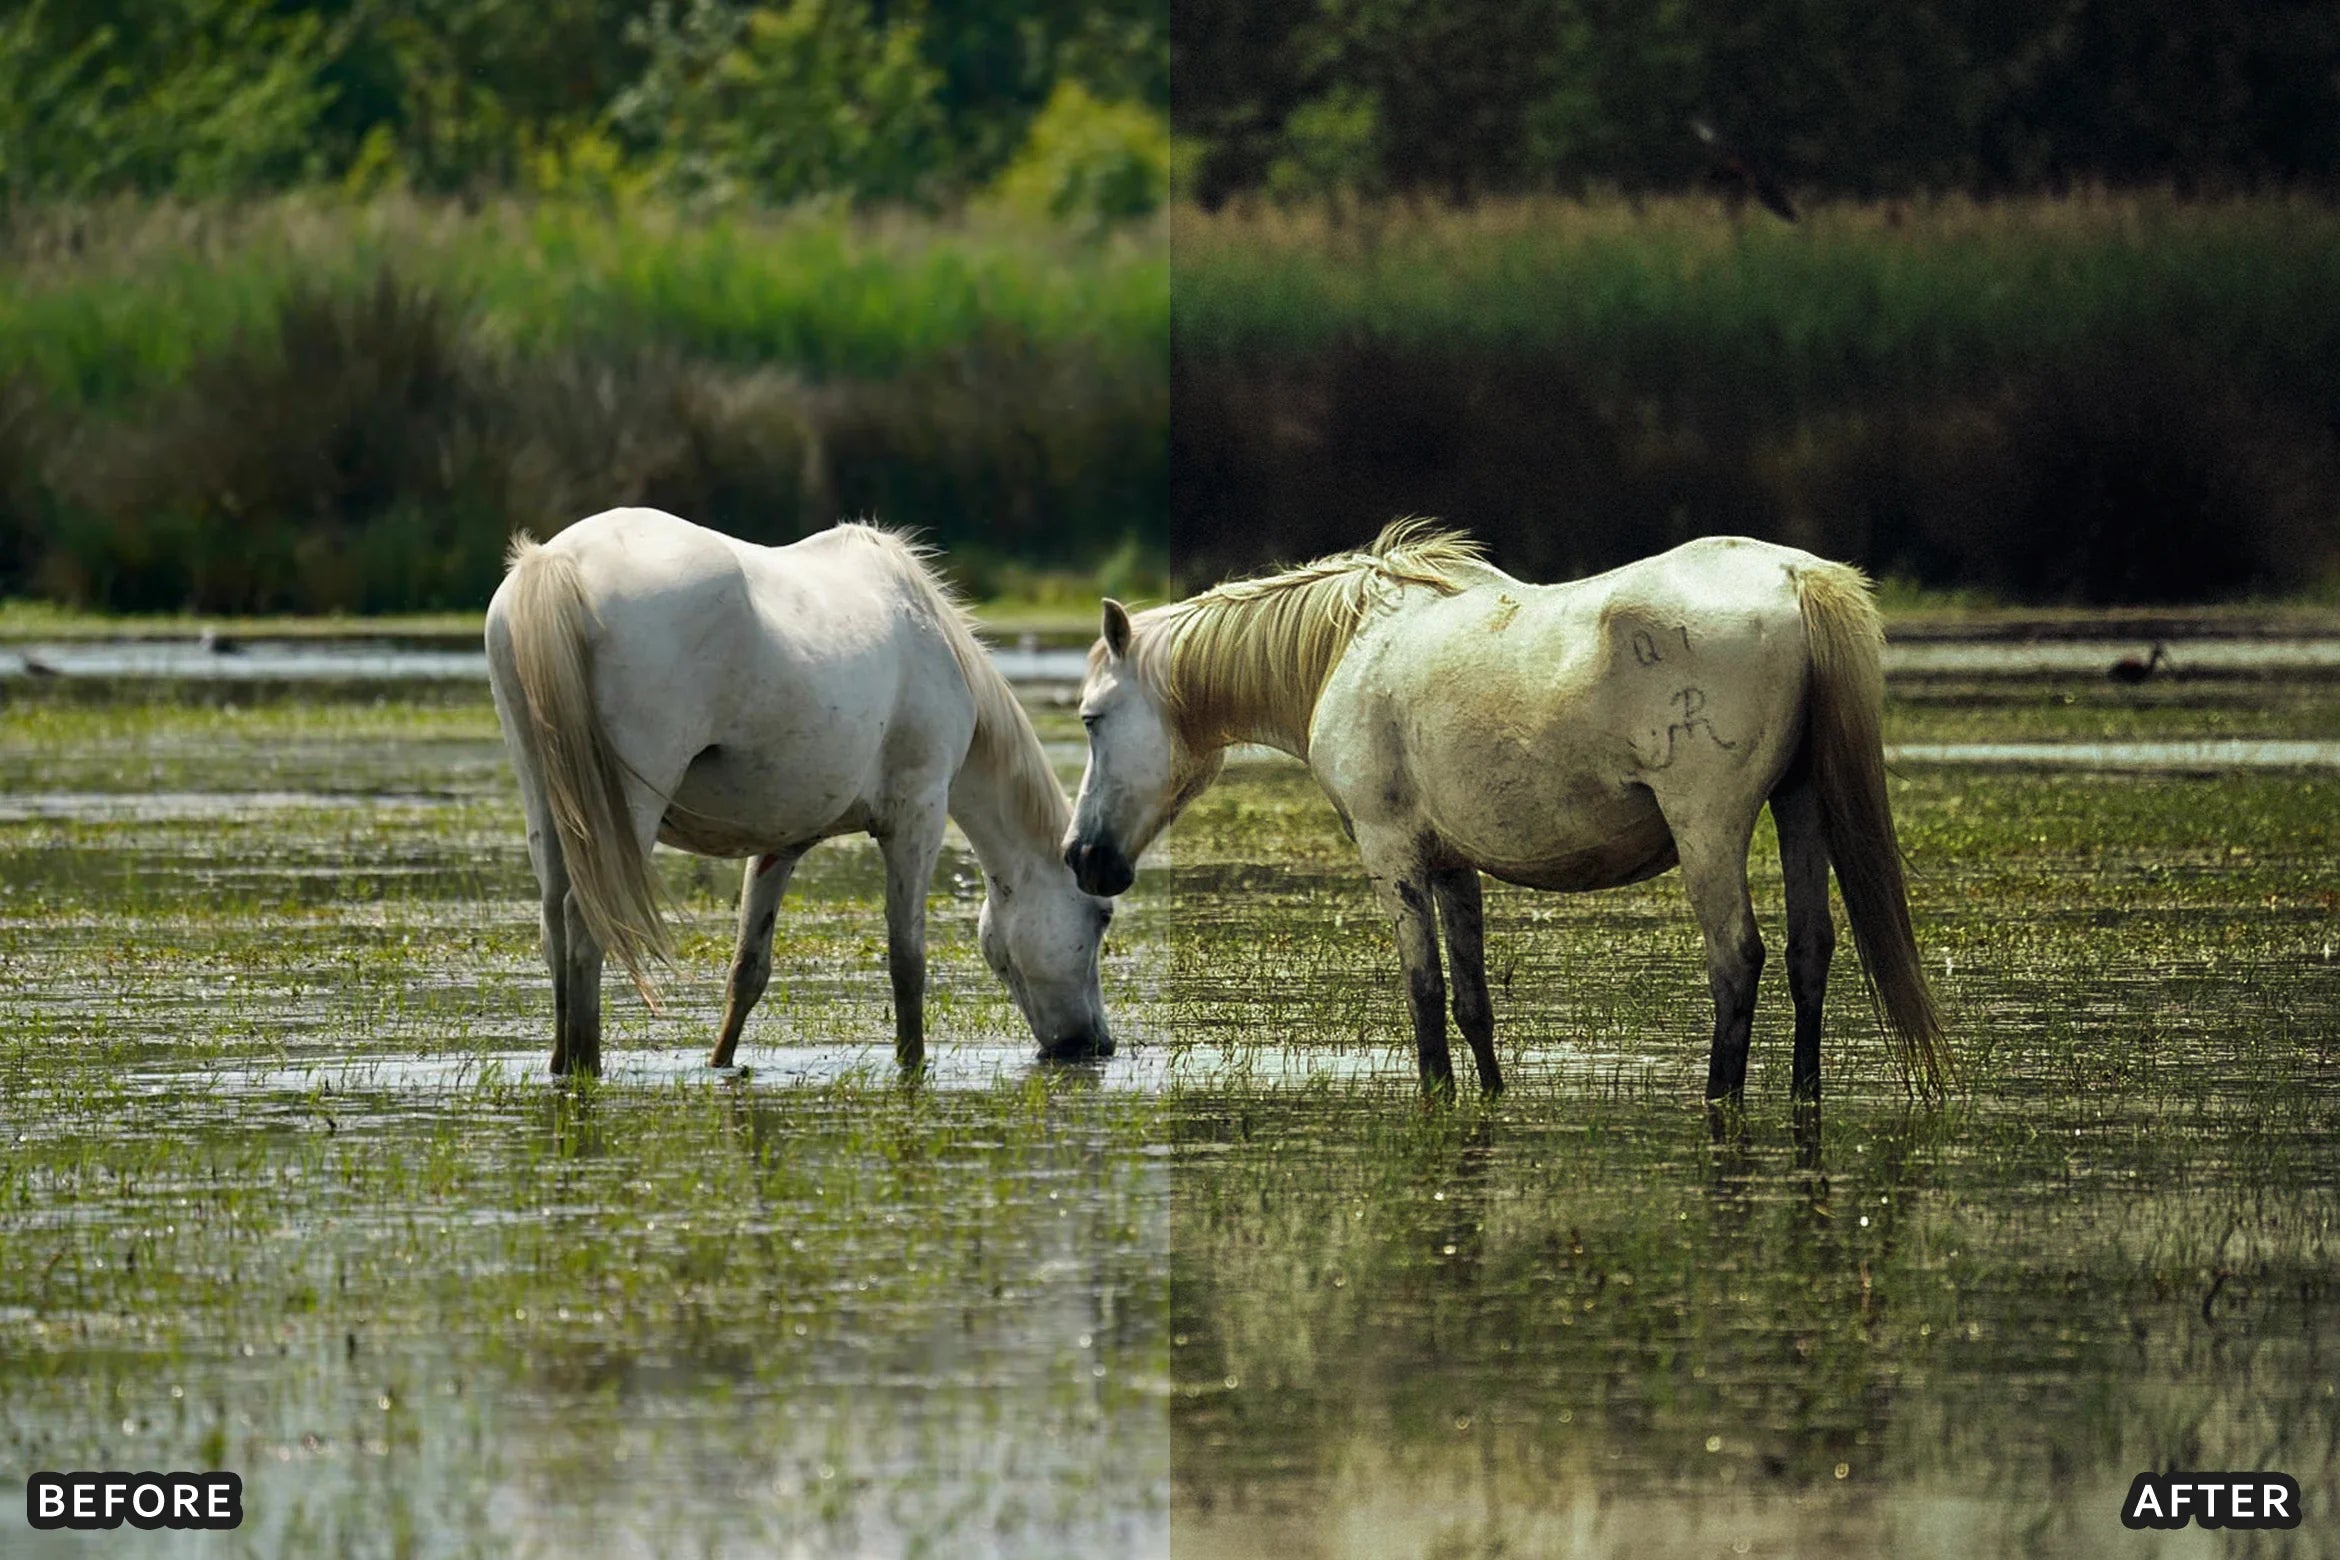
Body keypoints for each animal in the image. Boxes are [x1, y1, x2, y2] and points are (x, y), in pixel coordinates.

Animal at [485, 507, 1114, 1077]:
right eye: (1101, 917)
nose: (1096, 1044)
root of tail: (559, 560)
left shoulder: (780, 844)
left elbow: (748, 970)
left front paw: (721, 1063)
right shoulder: (918, 815)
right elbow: (907, 962)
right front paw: (912, 1064)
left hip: (547, 804)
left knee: (554, 925)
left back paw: (561, 1064)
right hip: (626, 812)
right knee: (585, 924)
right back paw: (584, 1066)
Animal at [1063, 521, 1945, 1105]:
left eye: (1092, 718)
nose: (1081, 857)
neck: (1348, 647)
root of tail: (1794, 576)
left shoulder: (1391, 853)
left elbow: (1422, 992)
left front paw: (1438, 1098)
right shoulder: (1452, 862)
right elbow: (1472, 1002)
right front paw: (1486, 1096)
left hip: (1710, 828)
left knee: (1737, 961)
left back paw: (1719, 1100)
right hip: (1801, 808)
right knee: (1808, 953)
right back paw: (1802, 1098)